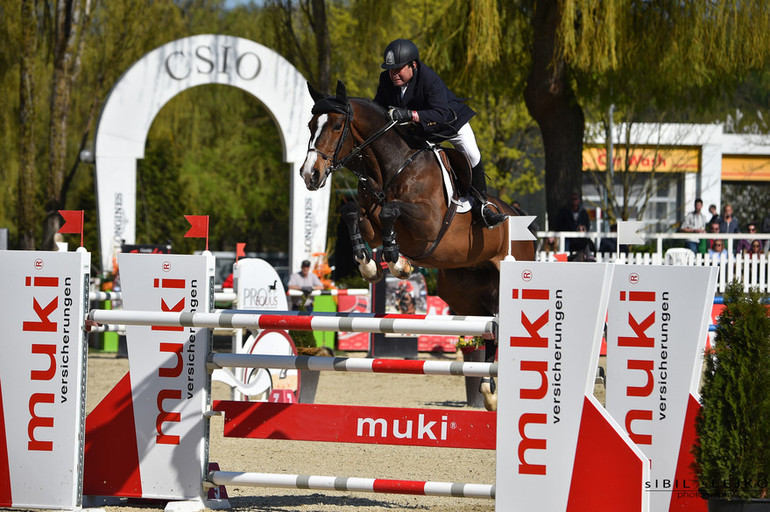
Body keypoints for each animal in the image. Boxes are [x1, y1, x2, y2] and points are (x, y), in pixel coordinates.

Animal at [300, 83, 536, 412]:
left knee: (500, 327)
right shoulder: (370, 223)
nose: (310, 175)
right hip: (463, 294)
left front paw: (397, 262)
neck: (389, 167)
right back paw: (488, 391)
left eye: (336, 126)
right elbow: (351, 214)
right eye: (311, 126)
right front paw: (369, 264)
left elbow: (391, 211)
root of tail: (515, 214)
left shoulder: (429, 224)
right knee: (489, 330)